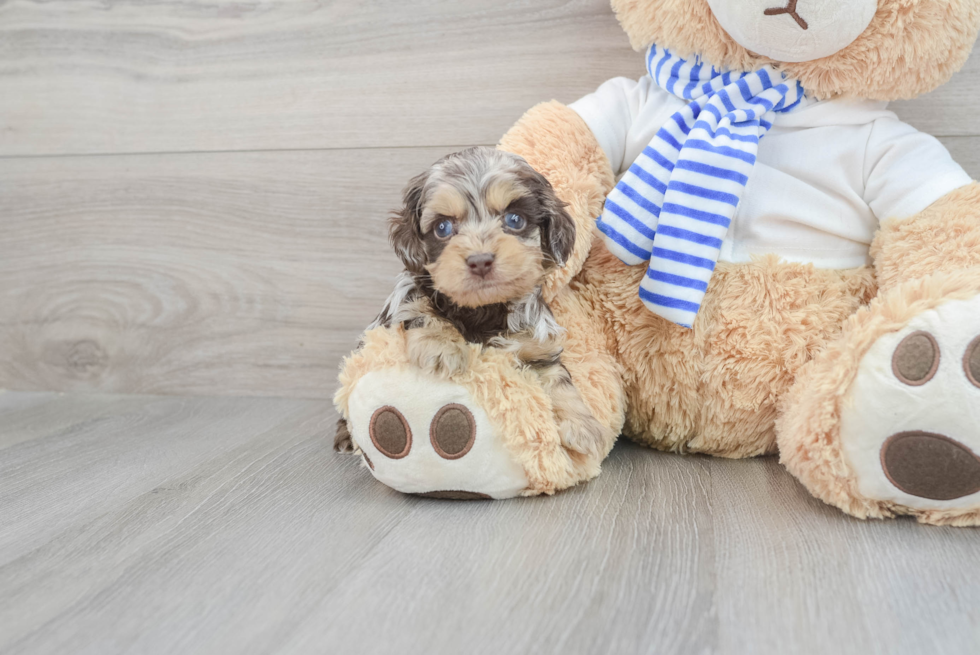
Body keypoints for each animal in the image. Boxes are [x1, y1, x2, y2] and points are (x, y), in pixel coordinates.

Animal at [336, 146, 612, 458]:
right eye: (443, 227)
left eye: (514, 220)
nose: (480, 261)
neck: (485, 309)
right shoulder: (405, 294)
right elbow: (420, 306)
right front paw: (442, 345)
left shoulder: (539, 346)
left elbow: (560, 378)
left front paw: (583, 425)